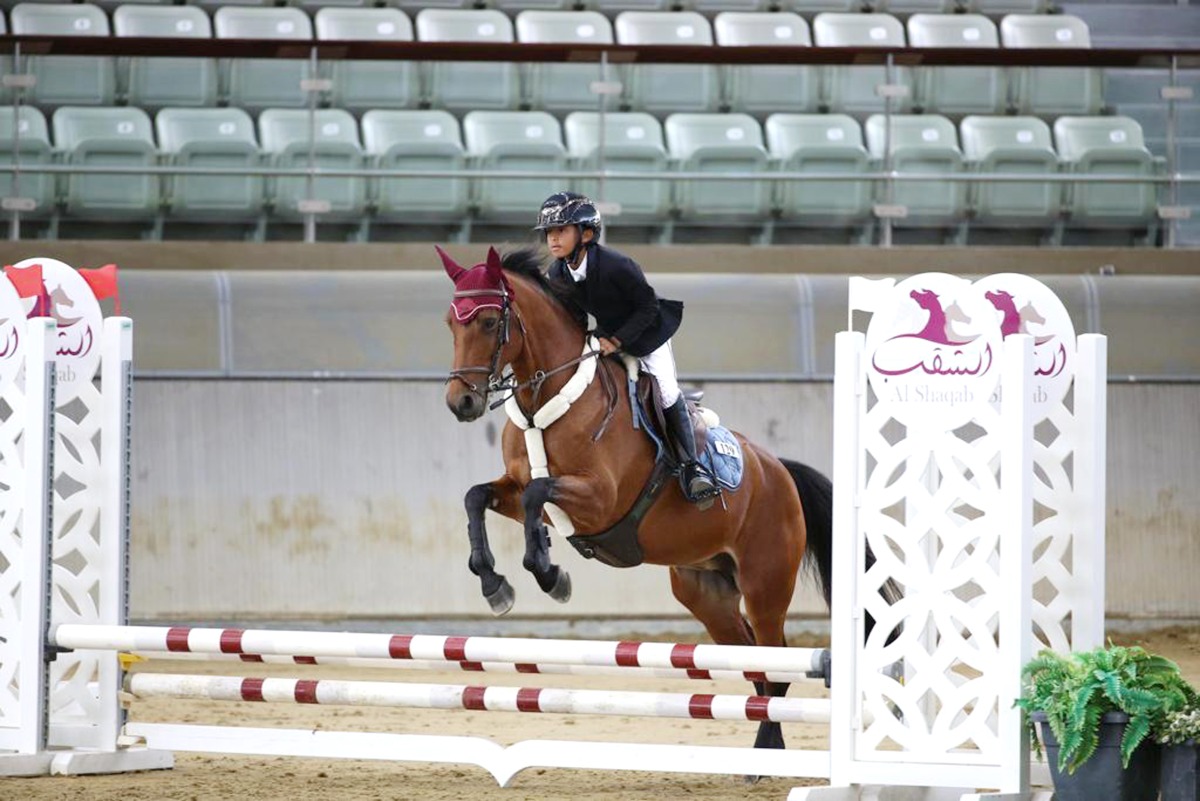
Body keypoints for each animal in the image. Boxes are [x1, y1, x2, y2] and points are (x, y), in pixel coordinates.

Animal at [441, 247, 835, 753]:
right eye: (451, 324)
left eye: (490, 322)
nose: (461, 403)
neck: (545, 400)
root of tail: (779, 470)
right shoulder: (516, 488)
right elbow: (479, 497)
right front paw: (495, 585)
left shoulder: (599, 499)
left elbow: (535, 495)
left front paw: (549, 575)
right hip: (706, 590)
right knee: (755, 665)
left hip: (765, 584)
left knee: (777, 664)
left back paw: (767, 751)